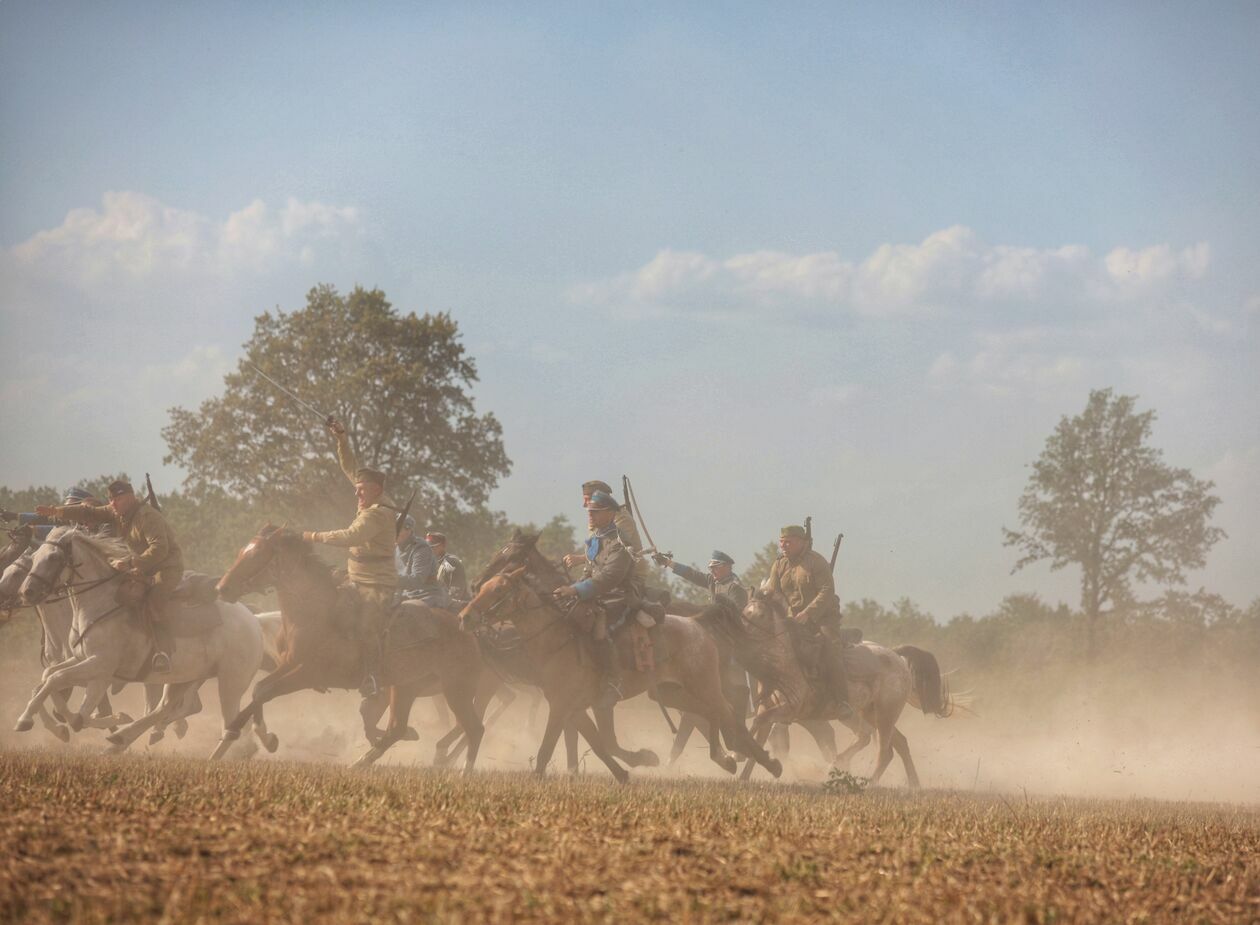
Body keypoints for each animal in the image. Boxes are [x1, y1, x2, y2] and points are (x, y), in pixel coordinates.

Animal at [13, 524, 270, 756]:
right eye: (35, 557)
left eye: (54, 557)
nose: (27, 592)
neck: (102, 603)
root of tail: (253, 620)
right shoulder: (85, 662)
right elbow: (50, 680)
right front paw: (62, 724)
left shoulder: (99, 666)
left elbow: (59, 685)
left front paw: (26, 720)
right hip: (186, 678)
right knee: (164, 708)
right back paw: (120, 738)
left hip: (230, 682)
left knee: (228, 728)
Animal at [209, 524, 483, 771]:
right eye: (242, 552)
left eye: (256, 555)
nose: (222, 588)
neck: (317, 613)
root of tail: (465, 630)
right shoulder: (288, 665)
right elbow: (259, 690)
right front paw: (253, 737)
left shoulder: (309, 674)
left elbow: (267, 691)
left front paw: (244, 734)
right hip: (405, 688)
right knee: (396, 728)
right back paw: (360, 763)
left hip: (455, 689)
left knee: (474, 728)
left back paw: (464, 772)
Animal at [458, 562, 781, 786]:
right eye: (484, 587)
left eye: (498, 590)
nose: (465, 617)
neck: (557, 639)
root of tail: (697, 624)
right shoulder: (576, 709)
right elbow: (600, 744)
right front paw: (629, 769)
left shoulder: (563, 706)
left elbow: (549, 747)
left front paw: (536, 778)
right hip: (671, 693)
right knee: (709, 713)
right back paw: (726, 758)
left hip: (704, 686)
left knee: (727, 714)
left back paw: (765, 762)